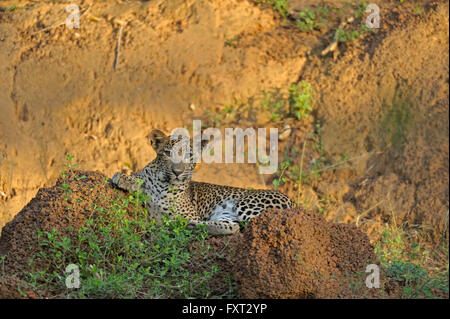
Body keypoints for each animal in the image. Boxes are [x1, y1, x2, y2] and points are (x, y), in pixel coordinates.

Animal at [111, 129, 296, 236]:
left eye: (189, 155)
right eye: (168, 153)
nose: (177, 172)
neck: (163, 182)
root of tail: (294, 202)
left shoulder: (188, 211)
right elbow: (142, 180)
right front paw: (123, 178)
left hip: (247, 204)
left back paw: (179, 223)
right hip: (226, 214)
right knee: (231, 227)